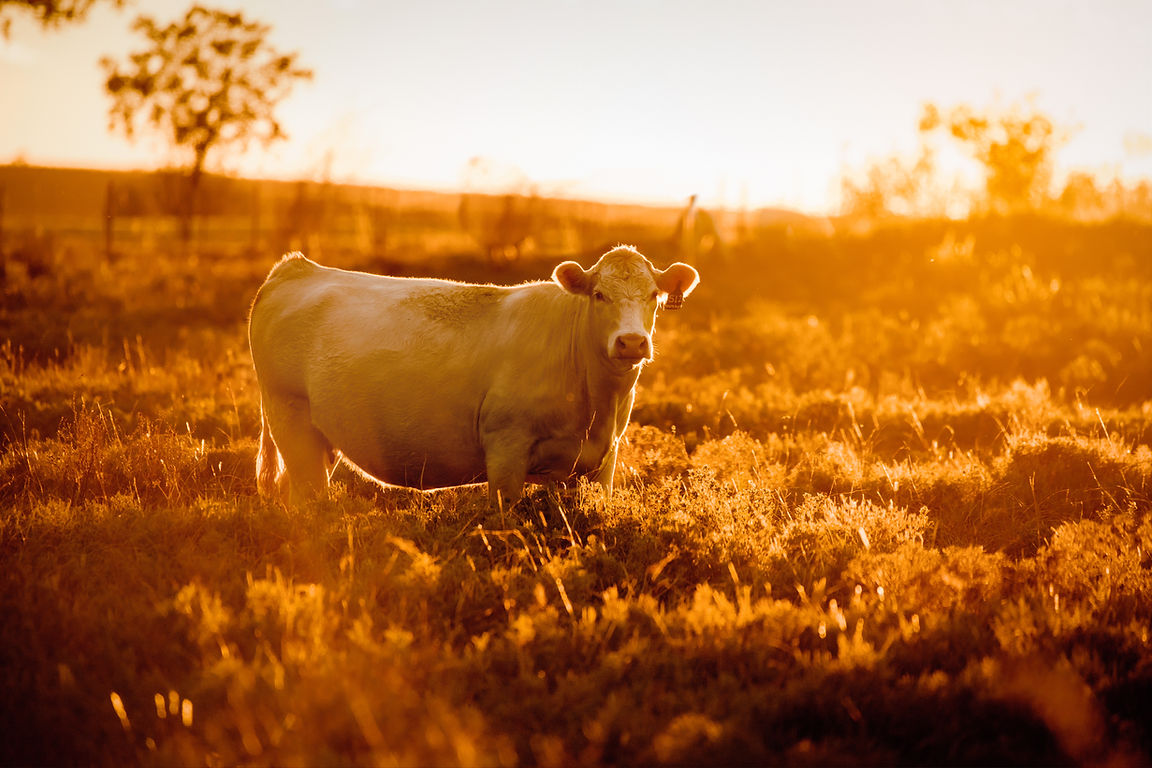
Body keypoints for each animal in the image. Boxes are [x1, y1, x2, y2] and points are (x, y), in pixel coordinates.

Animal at [247, 245, 700, 507]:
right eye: (599, 295)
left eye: (654, 296)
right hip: (290, 418)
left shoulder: (602, 462)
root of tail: (297, 268)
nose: (632, 342)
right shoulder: (506, 449)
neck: (596, 406)